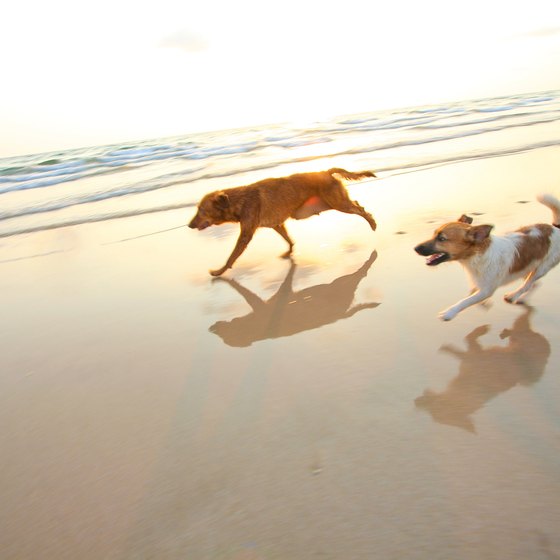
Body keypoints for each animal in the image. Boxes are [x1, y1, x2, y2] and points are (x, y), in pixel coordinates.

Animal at [188, 168, 376, 278]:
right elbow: (288, 239)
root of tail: (325, 171)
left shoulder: (245, 235)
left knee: (360, 210)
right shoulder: (277, 225)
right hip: (330, 203)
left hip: (338, 203)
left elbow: (231, 256)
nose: (189, 225)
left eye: (201, 210)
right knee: (358, 204)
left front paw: (219, 271)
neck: (238, 201)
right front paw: (290, 251)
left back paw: (373, 223)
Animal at [414, 195, 560, 322]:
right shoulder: (478, 282)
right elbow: (472, 293)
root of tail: (555, 228)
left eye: (442, 239)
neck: (476, 256)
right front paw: (483, 303)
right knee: (533, 284)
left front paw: (450, 312)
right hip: (527, 266)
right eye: (434, 234)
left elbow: (466, 301)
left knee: (528, 284)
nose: (415, 248)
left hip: (541, 268)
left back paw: (513, 295)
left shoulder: (486, 289)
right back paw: (520, 298)